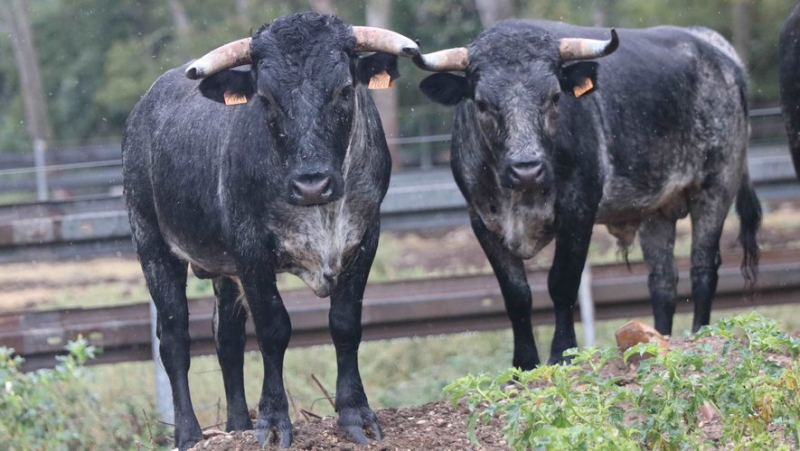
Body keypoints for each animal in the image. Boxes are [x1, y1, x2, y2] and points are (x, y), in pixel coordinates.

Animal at [122, 12, 422, 450]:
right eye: (265, 98)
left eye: (344, 90)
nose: (312, 184)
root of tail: (143, 107)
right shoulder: (251, 250)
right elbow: (273, 330)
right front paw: (274, 422)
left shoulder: (365, 239)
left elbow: (345, 324)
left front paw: (356, 415)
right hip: (152, 244)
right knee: (175, 339)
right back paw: (189, 433)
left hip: (223, 270)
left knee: (227, 341)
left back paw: (236, 426)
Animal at [416, 19, 760, 370]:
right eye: (483, 103)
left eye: (555, 96)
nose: (526, 169)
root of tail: (716, 48)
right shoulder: (482, 220)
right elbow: (516, 294)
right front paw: (523, 364)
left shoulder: (578, 211)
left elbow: (562, 283)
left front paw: (563, 353)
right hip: (657, 210)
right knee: (663, 281)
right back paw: (658, 338)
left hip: (717, 185)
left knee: (703, 268)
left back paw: (700, 333)